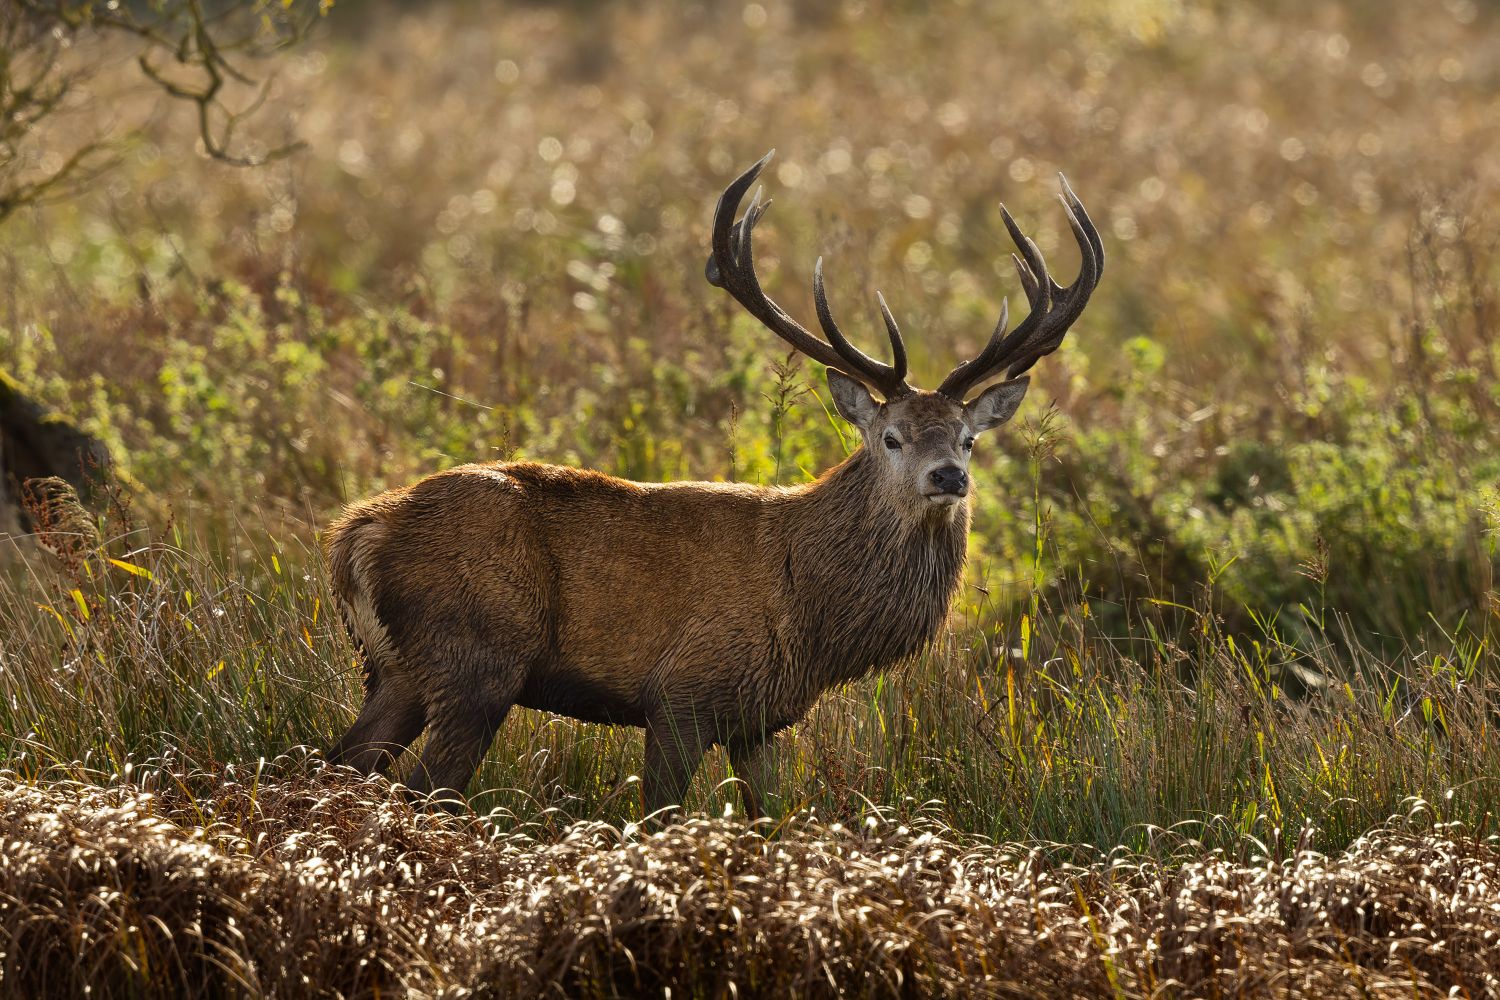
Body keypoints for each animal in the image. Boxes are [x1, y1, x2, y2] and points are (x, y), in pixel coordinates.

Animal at [325, 150, 1104, 821]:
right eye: (892, 438)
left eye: (968, 437)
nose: (949, 476)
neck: (814, 614)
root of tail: (358, 531)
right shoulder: (683, 692)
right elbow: (658, 818)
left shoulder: (760, 720)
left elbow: (773, 822)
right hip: (476, 654)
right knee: (425, 789)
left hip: (394, 669)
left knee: (339, 765)